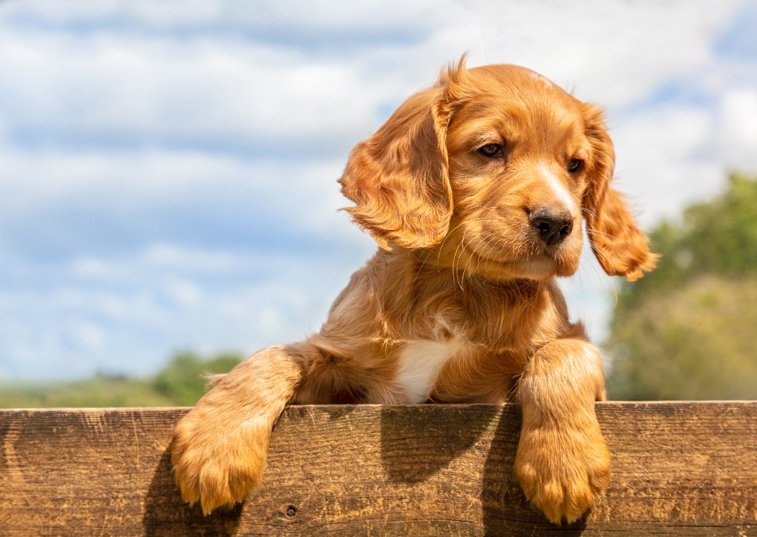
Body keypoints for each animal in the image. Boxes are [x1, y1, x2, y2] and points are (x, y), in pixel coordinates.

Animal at [168, 59, 652, 524]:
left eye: (575, 165)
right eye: (491, 149)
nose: (556, 223)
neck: (453, 292)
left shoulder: (550, 360)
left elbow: (563, 354)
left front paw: (564, 463)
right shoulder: (345, 364)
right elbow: (274, 355)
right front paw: (216, 445)